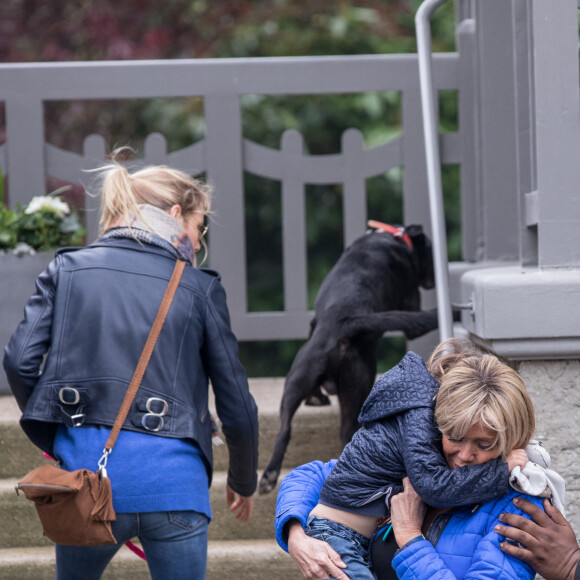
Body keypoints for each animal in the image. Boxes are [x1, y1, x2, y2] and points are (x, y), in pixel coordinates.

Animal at [260, 222, 440, 494]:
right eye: (429, 250)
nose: (433, 279)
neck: (393, 238)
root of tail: (342, 323)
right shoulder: (412, 311)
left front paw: (317, 397)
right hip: (359, 384)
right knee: (347, 434)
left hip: (297, 379)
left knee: (285, 429)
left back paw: (269, 475)